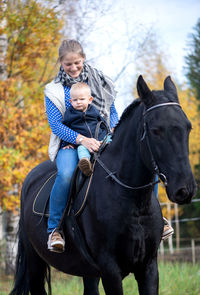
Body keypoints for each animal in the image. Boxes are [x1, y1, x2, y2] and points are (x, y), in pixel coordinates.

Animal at [10, 77, 196, 295]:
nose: (185, 189)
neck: (132, 202)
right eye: (156, 130)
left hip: (87, 271)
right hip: (35, 263)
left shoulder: (148, 267)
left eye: (188, 127)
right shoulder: (110, 270)